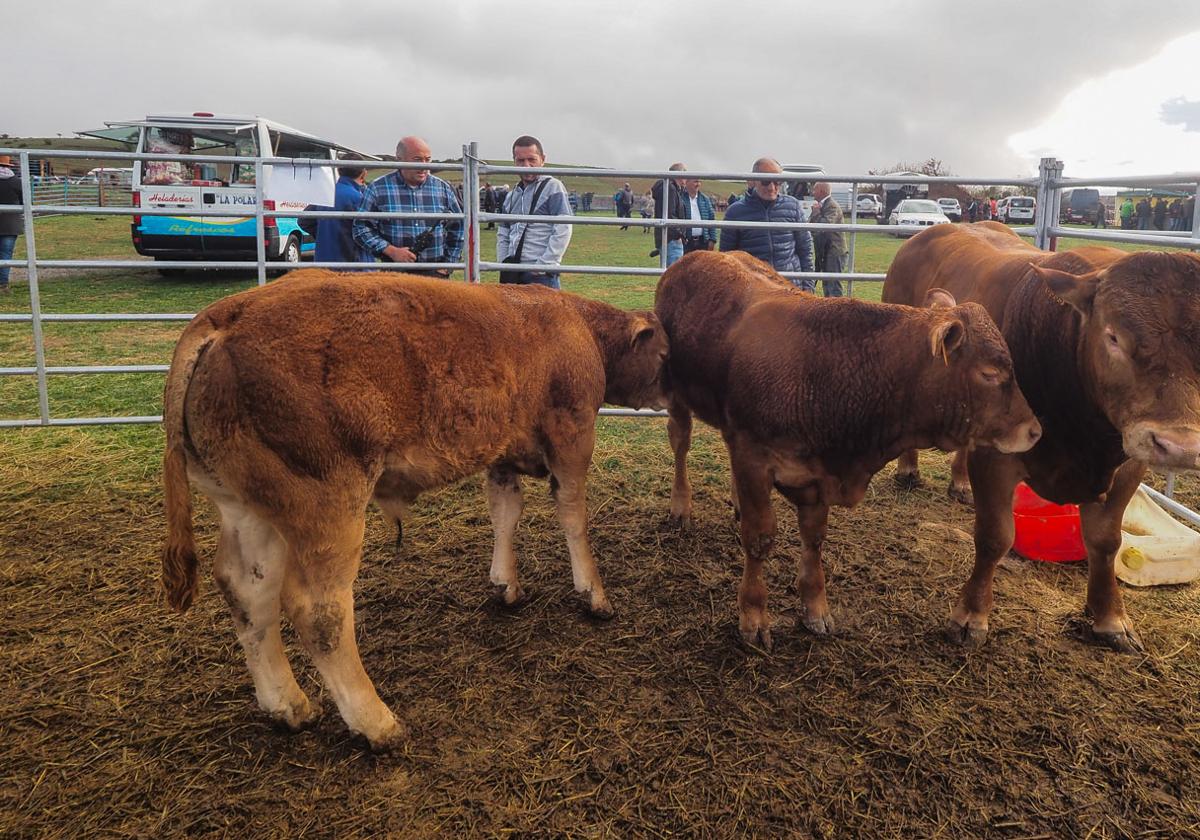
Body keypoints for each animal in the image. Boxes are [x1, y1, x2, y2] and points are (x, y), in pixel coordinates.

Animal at [160, 268, 672, 748]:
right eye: (665, 355)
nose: (675, 393)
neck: (576, 324)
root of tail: (224, 317)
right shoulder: (572, 435)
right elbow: (573, 515)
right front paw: (594, 594)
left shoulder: (502, 451)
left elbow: (505, 514)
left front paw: (506, 584)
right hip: (329, 508)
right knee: (319, 611)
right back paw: (376, 722)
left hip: (249, 511)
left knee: (249, 593)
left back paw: (288, 705)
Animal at [657, 249, 1041, 648]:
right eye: (989, 373)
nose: (1034, 430)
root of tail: (699, 256)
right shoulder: (753, 456)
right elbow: (759, 538)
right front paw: (753, 616)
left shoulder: (817, 473)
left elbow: (814, 539)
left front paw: (815, 608)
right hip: (677, 397)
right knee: (681, 444)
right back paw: (681, 506)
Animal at [883, 223, 1200, 648]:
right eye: (1113, 337)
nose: (1178, 445)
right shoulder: (997, 457)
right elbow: (994, 537)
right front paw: (971, 614)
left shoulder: (1130, 465)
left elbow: (1106, 542)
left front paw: (1110, 617)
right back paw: (908, 471)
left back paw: (960, 484)